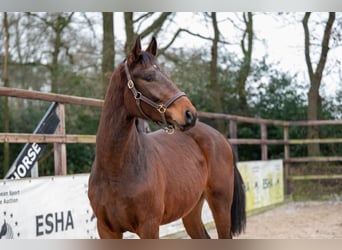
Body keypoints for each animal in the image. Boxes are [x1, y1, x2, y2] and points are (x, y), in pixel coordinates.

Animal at [88, 36, 246, 238]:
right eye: (148, 77)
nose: (190, 113)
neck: (115, 171)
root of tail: (221, 138)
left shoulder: (149, 227)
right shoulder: (107, 230)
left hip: (221, 205)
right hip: (191, 210)